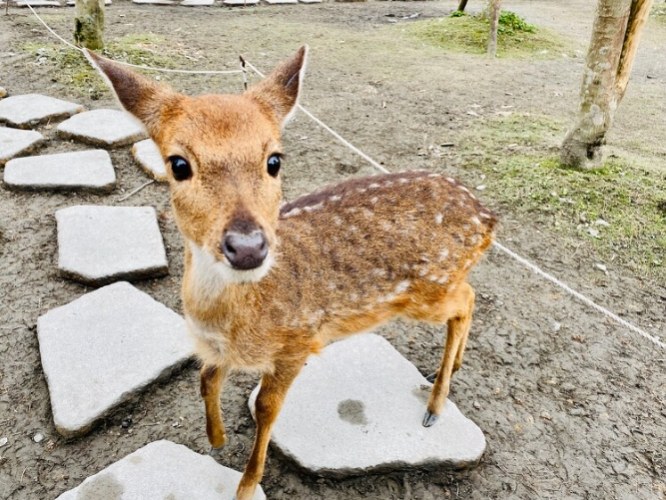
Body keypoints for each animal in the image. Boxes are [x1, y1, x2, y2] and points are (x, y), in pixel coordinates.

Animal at [86, 46, 497, 500]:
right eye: (178, 164)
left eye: (274, 160)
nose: (248, 246)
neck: (232, 321)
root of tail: (488, 219)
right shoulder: (219, 350)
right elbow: (206, 377)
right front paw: (216, 437)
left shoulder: (298, 341)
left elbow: (266, 408)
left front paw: (246, 485)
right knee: (468, 298)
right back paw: (452, 369)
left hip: (427, 290)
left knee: (466, 300)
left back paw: (435, 405)